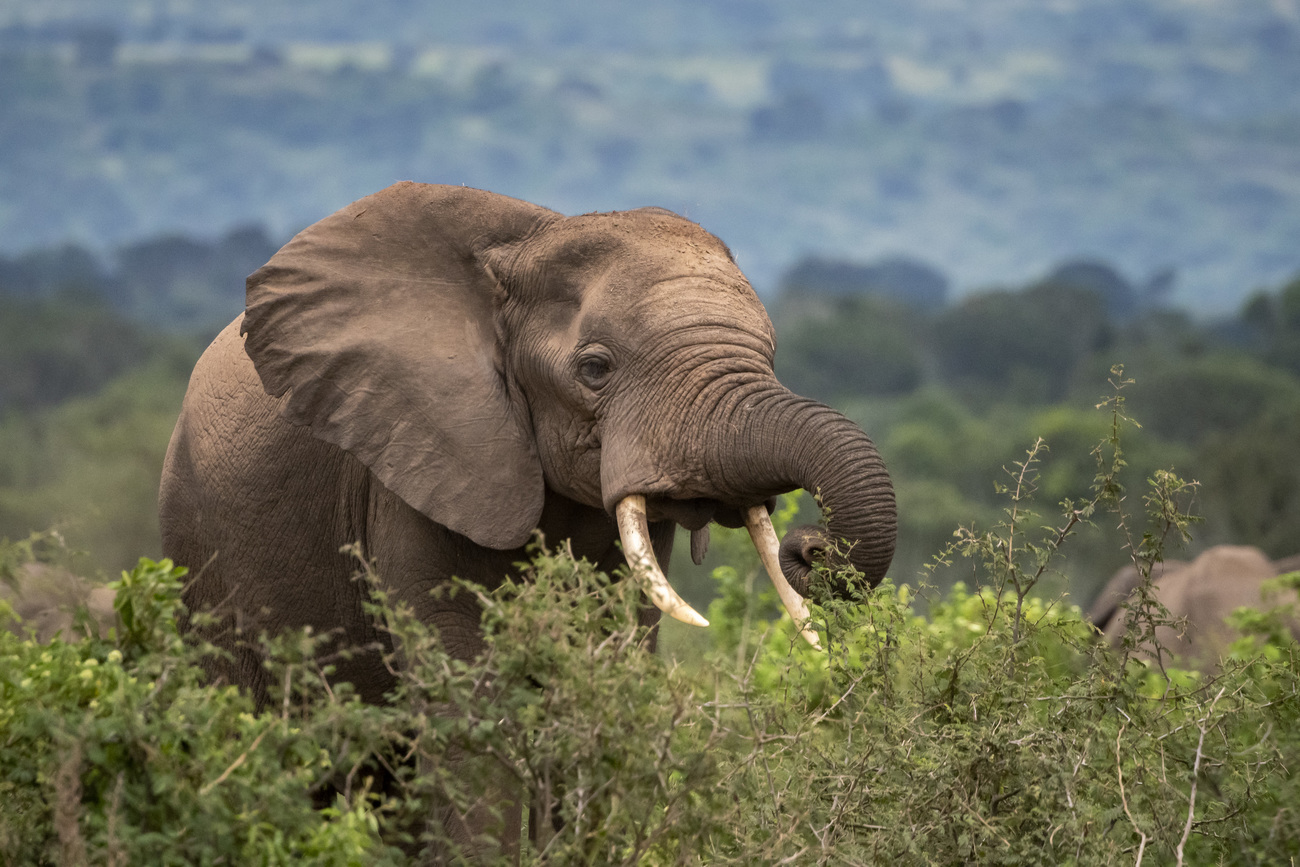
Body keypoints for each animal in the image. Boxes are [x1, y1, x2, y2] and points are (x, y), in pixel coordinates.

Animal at [157, 181, 894, 852]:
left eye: (770, 356)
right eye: (594, 368)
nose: (811, 544)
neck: (525, 248)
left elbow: (603, 684)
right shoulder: (420, 466)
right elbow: (474, 710)